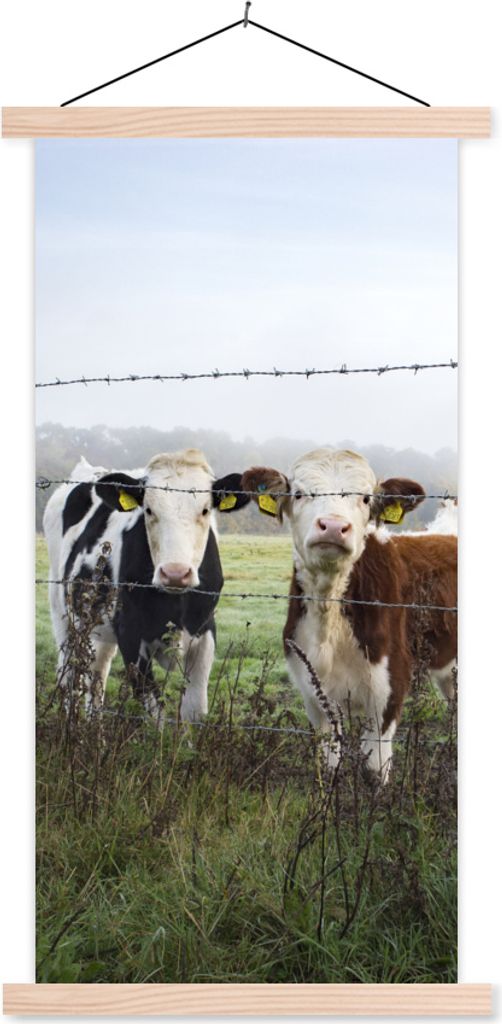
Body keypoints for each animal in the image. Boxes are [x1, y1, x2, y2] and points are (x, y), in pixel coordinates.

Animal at [43, 449, 250, 721]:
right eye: (148, 510)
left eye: (206, 510)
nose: (175, 573)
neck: (174, 605)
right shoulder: (130, 634)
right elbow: (154, 711)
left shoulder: (205, 630)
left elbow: (194, 709)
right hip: (62, 611)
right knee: (69, 671)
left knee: (98, 669)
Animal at [241, 448, 457, 781]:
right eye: (299, 493)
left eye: (366, 499)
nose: (332, 526)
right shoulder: (312, 691)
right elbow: (330, 762)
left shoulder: (390, 687)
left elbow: (375, 769)